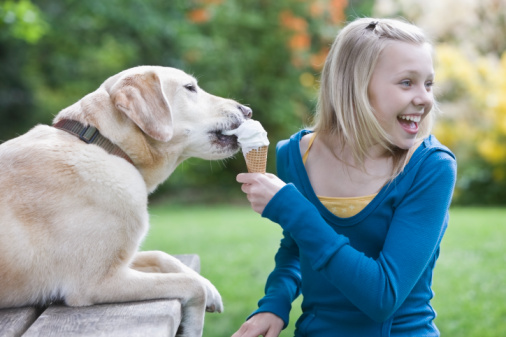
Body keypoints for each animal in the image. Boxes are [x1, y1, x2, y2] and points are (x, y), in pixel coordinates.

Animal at [0, 65, 252, 336]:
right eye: (190, 88)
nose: (248, 111)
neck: (107, 146)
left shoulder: (123, 261)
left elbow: (162, 256)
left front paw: (211, 288)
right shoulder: (96, 282)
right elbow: (191, 284)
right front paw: (193, 326)